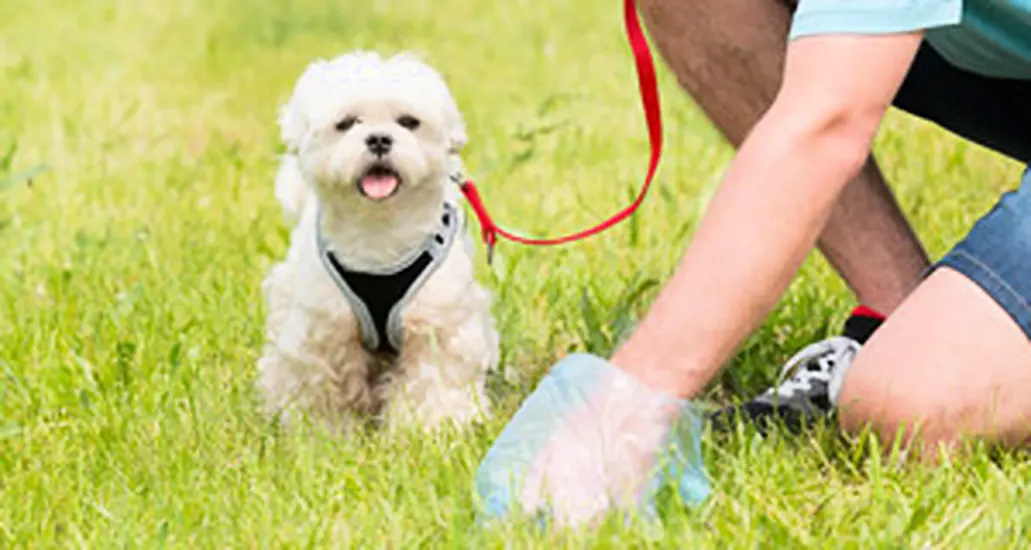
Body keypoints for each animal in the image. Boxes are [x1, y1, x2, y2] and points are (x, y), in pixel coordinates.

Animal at [257, 51, 499, 433]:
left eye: (408, 122)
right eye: (346, 123)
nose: (380, 139)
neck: (380, 233)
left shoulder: (438, 321)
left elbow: (433, 378)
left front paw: (431, 429)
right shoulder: (325, 327)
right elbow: (327, 384)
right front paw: (326, 433)